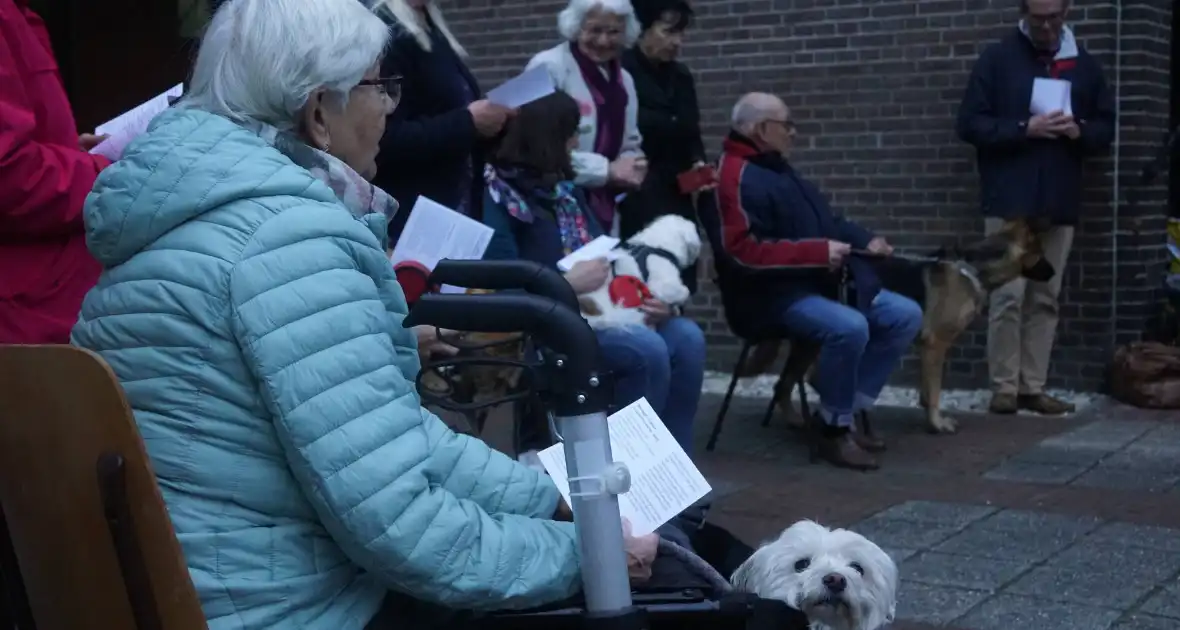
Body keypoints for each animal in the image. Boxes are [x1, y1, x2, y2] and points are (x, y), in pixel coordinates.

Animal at [741, 219, 1057, 436]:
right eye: (1041, 253)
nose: (1054, 273)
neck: (974, 269)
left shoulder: (928, 348)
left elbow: (928, 390)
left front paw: (928, 414)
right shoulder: (935, 345)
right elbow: (936, 389)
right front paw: (937, 423)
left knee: (787, 382)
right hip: (815, 342)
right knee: (790, 381)